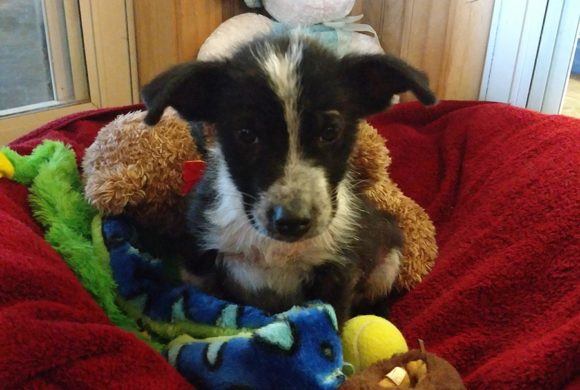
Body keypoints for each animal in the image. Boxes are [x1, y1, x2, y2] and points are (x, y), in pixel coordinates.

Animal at [142, 34, 436, 322]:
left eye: (330, 132)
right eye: (246, 135)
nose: (292, 222)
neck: (274, 249)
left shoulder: (338, 274)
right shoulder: (198, 260)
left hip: (389, 257)